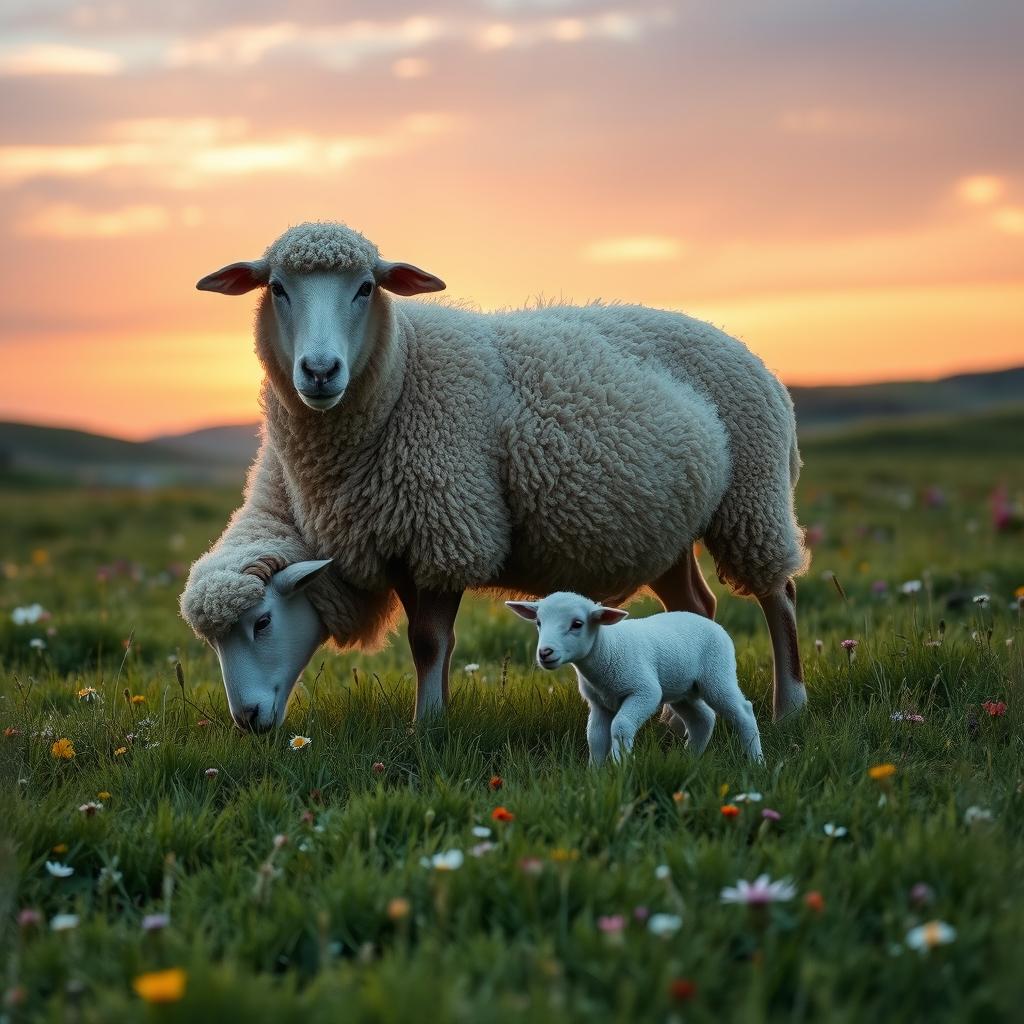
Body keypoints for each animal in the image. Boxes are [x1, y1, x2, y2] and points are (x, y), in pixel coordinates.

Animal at [181, 221, 808, 731]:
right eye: (276, 288)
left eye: (366, 287)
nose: (318, 370)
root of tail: (741, 345)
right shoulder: (399, 534)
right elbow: (435, 644)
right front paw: (439, 715)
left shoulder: (445, 529)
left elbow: (428, 641)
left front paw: (428, 728)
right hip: (668, 525)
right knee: (697, 607)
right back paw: (679, 720)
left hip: (752, 499)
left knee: (778, 594)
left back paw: (790, 707)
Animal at [506, 592, 763, 762]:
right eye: (539, 622)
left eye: (577, 624)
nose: (545, 653)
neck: (607, 649)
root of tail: (712, 623)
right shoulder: (599, 704)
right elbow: (595, 736)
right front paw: (595, 774)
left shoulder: (645, 691)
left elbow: (620, 726)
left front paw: (619, 766)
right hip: (682, 690)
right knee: (703, 719)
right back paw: (690, 759)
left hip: (717, 674)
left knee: (743, 712)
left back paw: (756, 761)